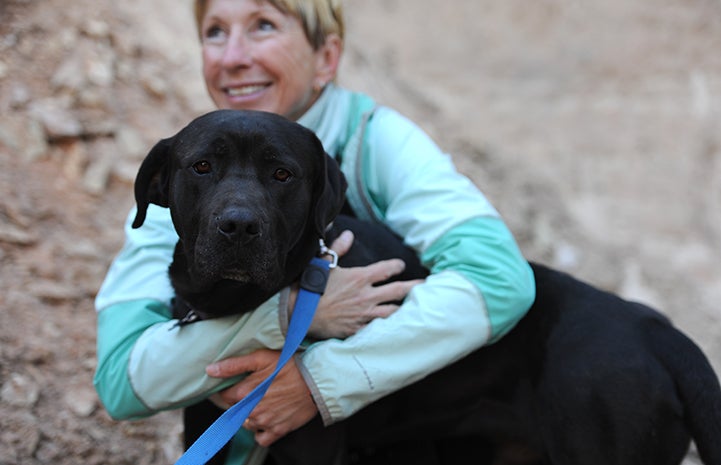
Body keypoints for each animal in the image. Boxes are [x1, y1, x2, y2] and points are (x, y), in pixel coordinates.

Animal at [132, 109, 720, 464]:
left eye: (283, 175)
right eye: (202, 166)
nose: (238, 226)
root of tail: (657, 330)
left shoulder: (308, 444)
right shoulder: (203, 427)